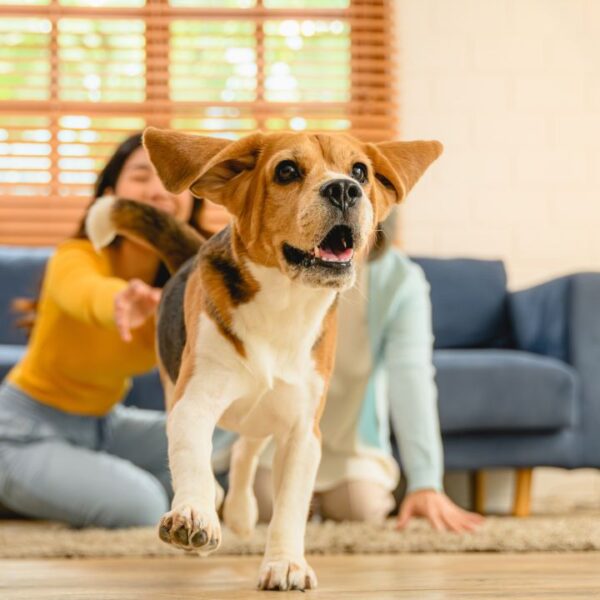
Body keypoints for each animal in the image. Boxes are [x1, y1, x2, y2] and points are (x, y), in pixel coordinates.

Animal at [86, 127, 440, 592]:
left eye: (360, 171)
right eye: (286, 171)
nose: (345, 189)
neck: (283, 305)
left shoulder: (302, 430)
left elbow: (289, 506)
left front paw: (285, 563)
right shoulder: (194, 402)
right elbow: (192, 458)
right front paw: (194, 512)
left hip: (267, 409)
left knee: (245, 449)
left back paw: (239, 511)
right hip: (179, 389)